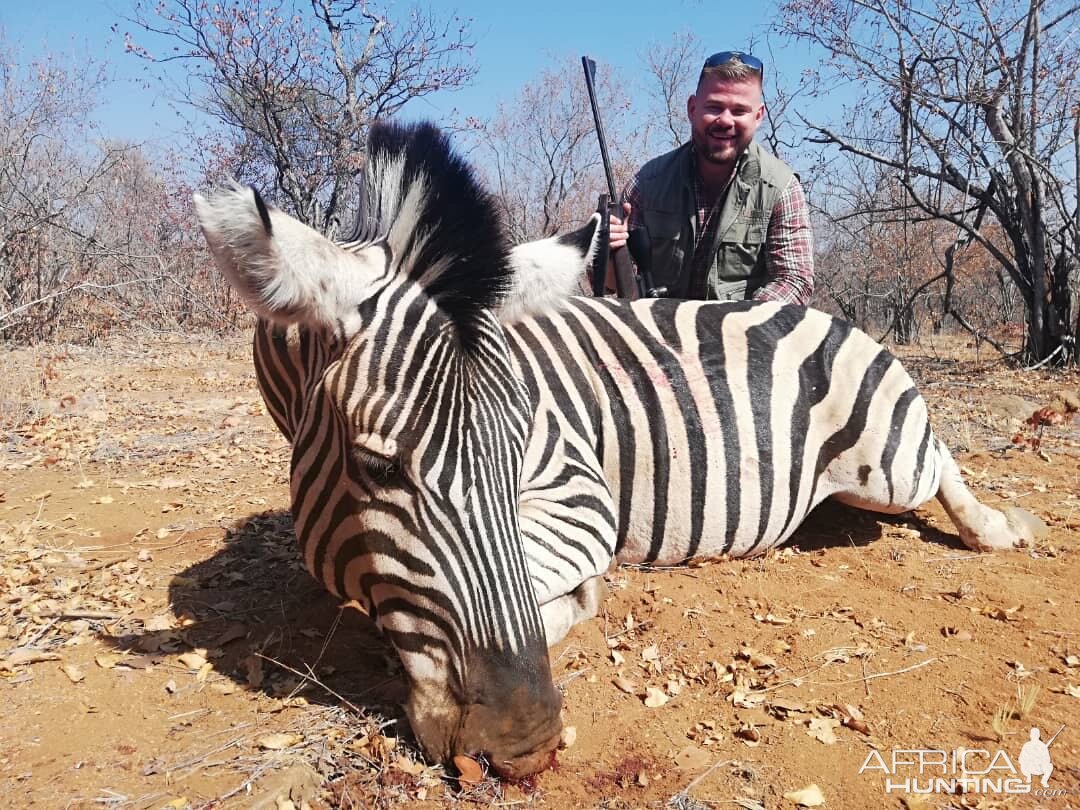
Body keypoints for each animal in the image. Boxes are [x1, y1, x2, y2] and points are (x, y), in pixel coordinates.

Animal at [192, 118, 1036, 781]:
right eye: (376, 468)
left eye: (518, 457)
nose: (524, 745)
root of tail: (832, 316)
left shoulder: (577, 489)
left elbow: (545, 582)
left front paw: (577, 599)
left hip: (886, 468)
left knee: (939, 461)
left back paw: (1000, 528)